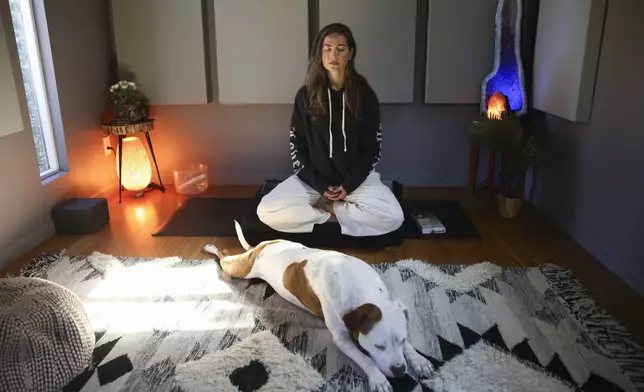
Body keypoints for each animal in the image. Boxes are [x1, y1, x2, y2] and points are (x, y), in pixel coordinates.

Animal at [204, 222, 432, 390]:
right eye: (379, 346)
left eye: (402, 339)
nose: (400, 370)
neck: (360, 286)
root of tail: (263, 245)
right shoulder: (342, 338)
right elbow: (365, 358)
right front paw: (378, 378)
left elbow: (407, 346)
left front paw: (418, 359)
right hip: (240, 269)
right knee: (224, 256)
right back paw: (211, 247)